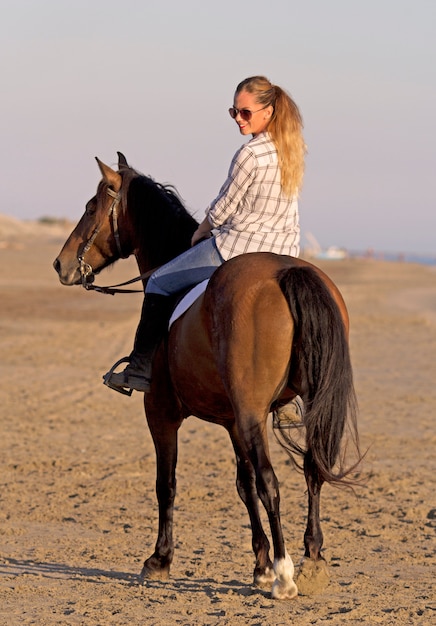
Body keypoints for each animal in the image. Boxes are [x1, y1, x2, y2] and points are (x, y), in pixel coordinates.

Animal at [53, 152, 358, 600]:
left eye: (91, 208)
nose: (60, 264)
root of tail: (287, 272)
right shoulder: (233, 422)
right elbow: (243, 484)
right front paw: (258, 565)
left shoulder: (161, 413)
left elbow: (167, 483)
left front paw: (160, 560)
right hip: (298, 406)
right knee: (311, 469)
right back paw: (312, 560)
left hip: (250, 416)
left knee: (272, 482)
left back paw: (285, 575)